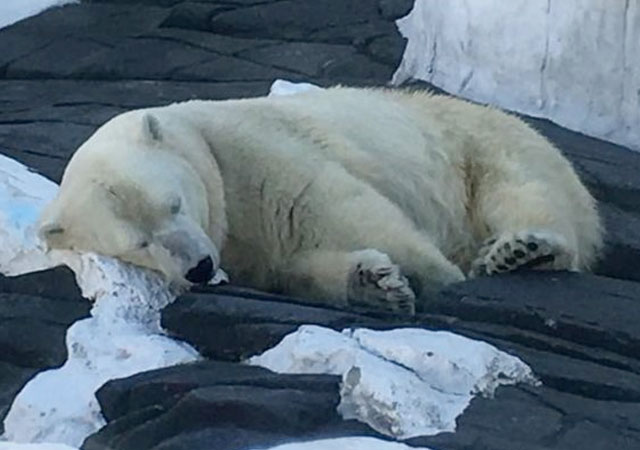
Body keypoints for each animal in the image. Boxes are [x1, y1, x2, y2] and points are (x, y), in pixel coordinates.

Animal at [37, 86, 604, 314]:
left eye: (173, 203)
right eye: (138, 243)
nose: (199, 267)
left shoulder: (247, 150)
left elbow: (332, 204)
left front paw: (437, 275)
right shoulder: (246, 250)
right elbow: (292, 268)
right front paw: (374, 283)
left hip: (482, 142)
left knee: (520, 187)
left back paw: (524, 250)